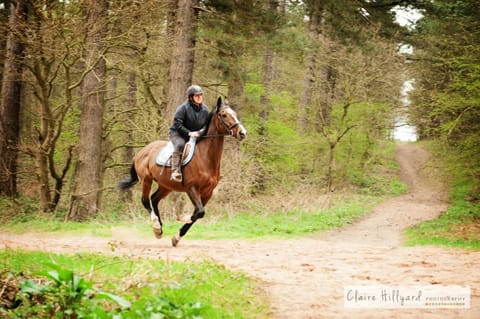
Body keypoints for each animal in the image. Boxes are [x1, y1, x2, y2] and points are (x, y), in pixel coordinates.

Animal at [117, 97, 248, 248]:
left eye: (235, 113)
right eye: (224, 115)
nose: (242, 133)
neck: (206, 157)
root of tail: (143, 151)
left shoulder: (207, 193)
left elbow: (198, 214)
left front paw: (176, 237)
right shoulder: (192, 188)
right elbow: (199, 212)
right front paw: (182, 218)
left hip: (166, 186)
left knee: (154, 199)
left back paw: (160, 229)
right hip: (146, 180)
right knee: (145, 201)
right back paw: (156, 227)